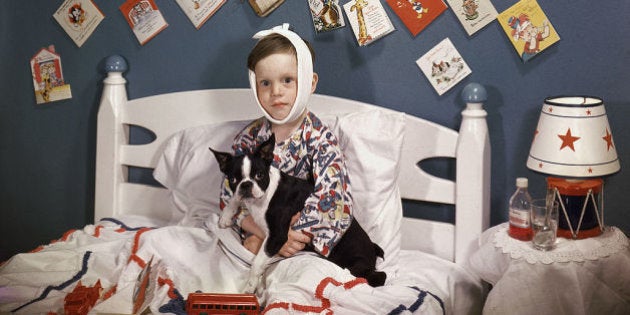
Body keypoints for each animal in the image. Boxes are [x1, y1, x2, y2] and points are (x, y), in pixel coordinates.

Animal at [211, 136, 386, 294]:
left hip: (357, 264)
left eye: (259, 175)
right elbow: (234, 198)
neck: (262, 198)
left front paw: (250, 288)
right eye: (232, 179)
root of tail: (372, 247)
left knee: (378, 276)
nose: (246, 184)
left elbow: (257, 263)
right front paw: (225, 216)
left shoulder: (277, 237)